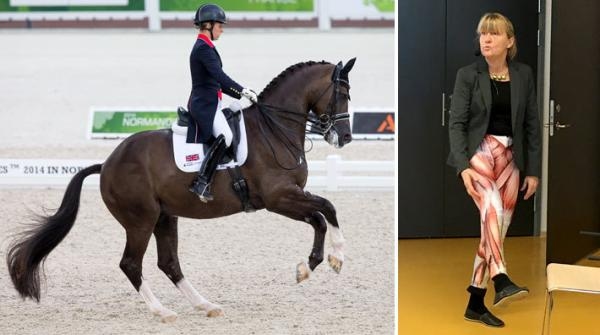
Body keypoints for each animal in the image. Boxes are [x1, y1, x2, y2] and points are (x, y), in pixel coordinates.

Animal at [5, 59, 356, 324]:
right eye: (341, 93)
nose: (345, 138)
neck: (274, 129)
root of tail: (107, 164)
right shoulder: (278, 197)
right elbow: (326, 210)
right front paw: (323, 262)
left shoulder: (290, 195)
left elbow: (323, 214)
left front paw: (319, 263)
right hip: (140, 220)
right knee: (131, 264)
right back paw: (163, 311)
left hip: (165, 217)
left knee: (169, 263)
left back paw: (206, 305)